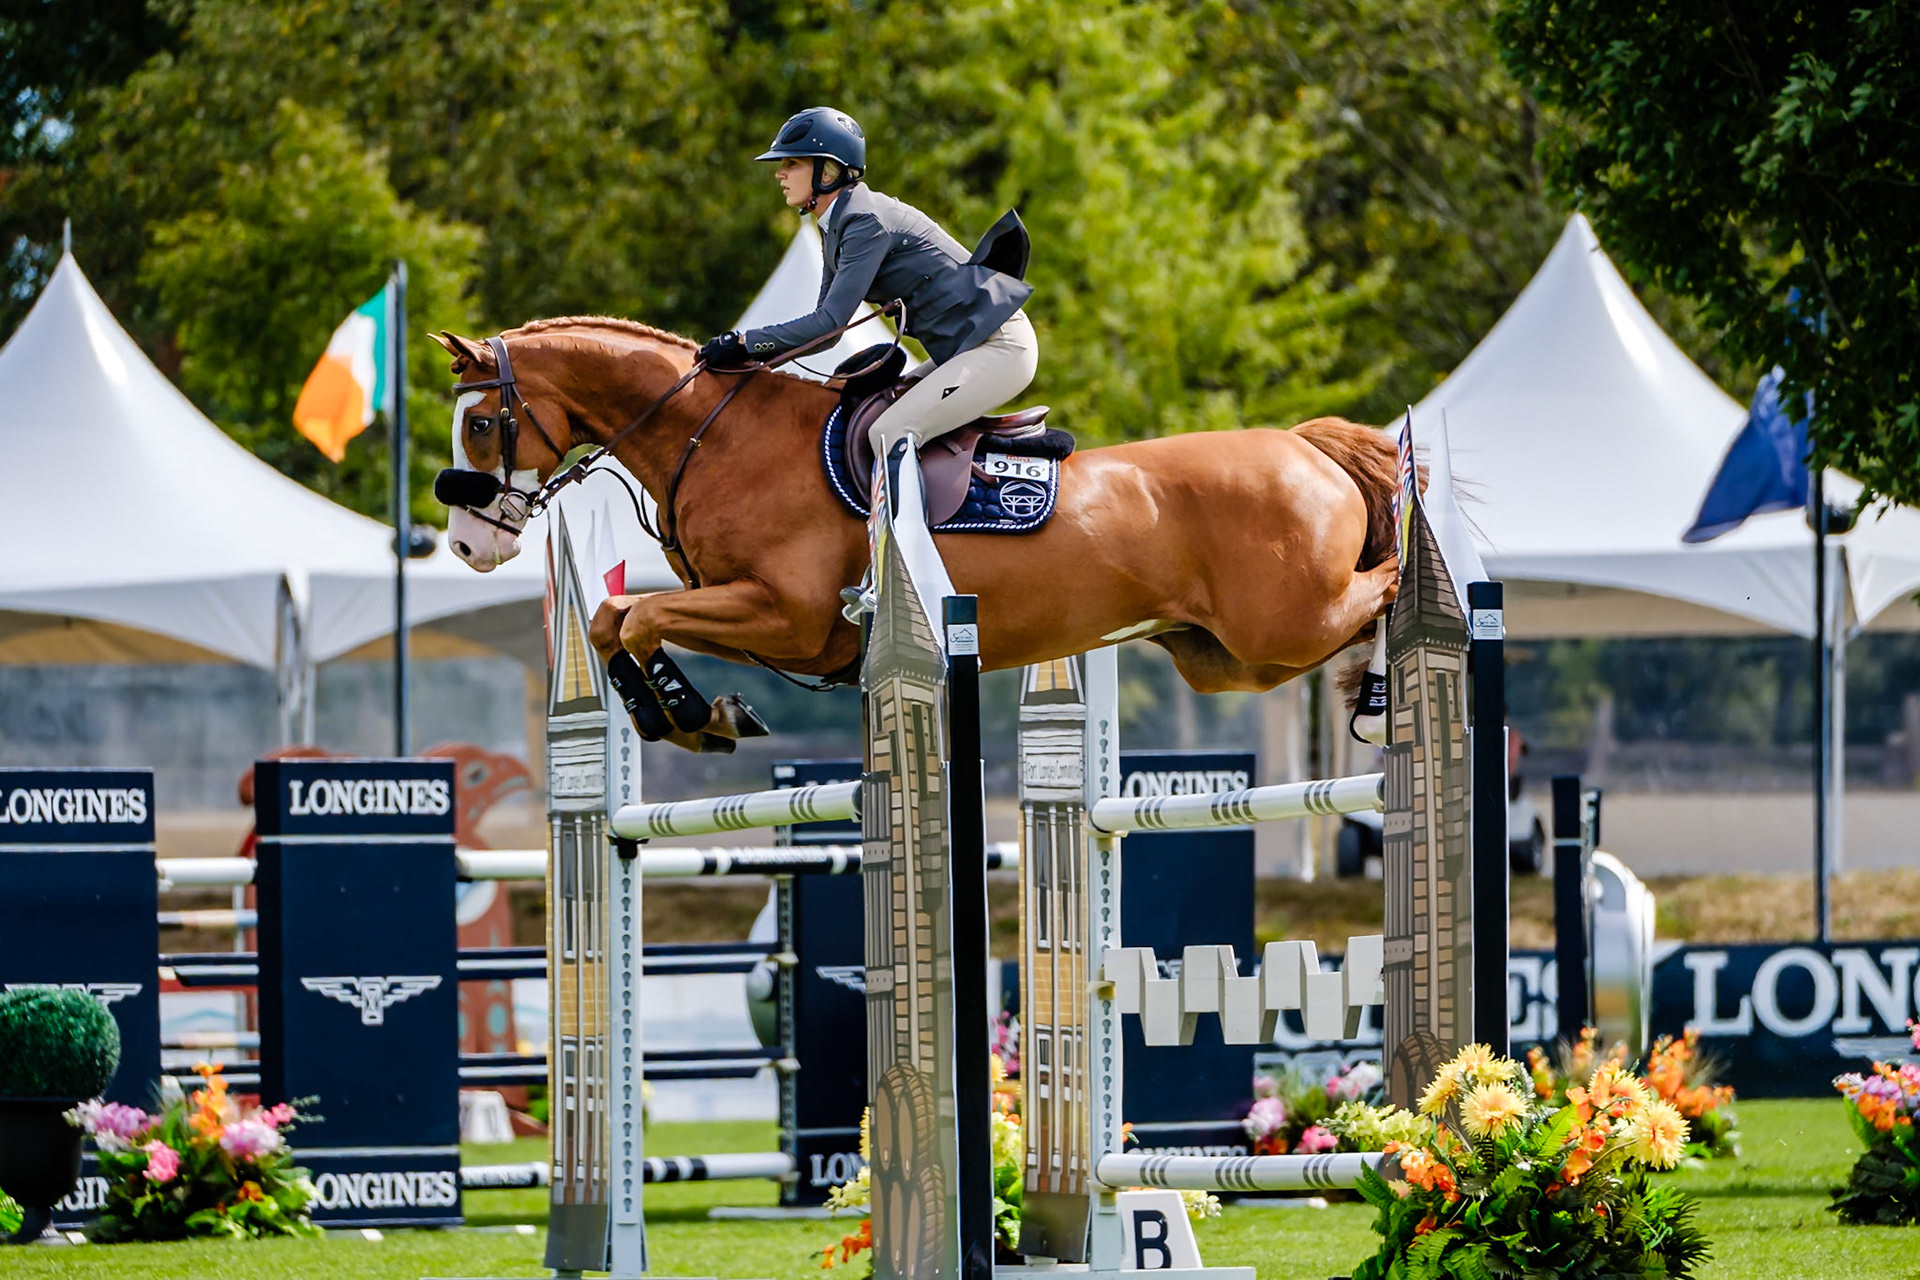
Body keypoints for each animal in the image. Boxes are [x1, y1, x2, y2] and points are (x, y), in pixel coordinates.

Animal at [432, 318, 1400, 753]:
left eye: (480, 424)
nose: (471, 548)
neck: (719, 438)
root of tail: (1304, 446)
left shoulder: (786, 616)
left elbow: (635, 619)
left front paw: (687, 712)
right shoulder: (756, 616)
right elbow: (610, 620)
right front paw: (685, 715)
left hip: (1281, 622)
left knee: (1381, 586)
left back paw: (1382, 680)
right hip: (1227, 658)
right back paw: (1368, 686)